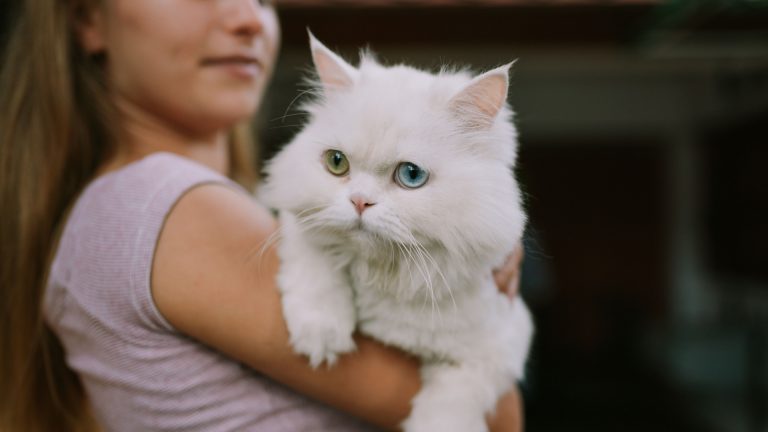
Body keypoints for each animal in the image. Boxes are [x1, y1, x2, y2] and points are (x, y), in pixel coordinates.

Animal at [260, 34, 532, 432]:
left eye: (411, 175)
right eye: (337, 163)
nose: (359, 202)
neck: (389, 277)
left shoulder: (500, 346)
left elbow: (452, 404)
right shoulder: (299, 223)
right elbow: (316, 265)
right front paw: (321, 334)